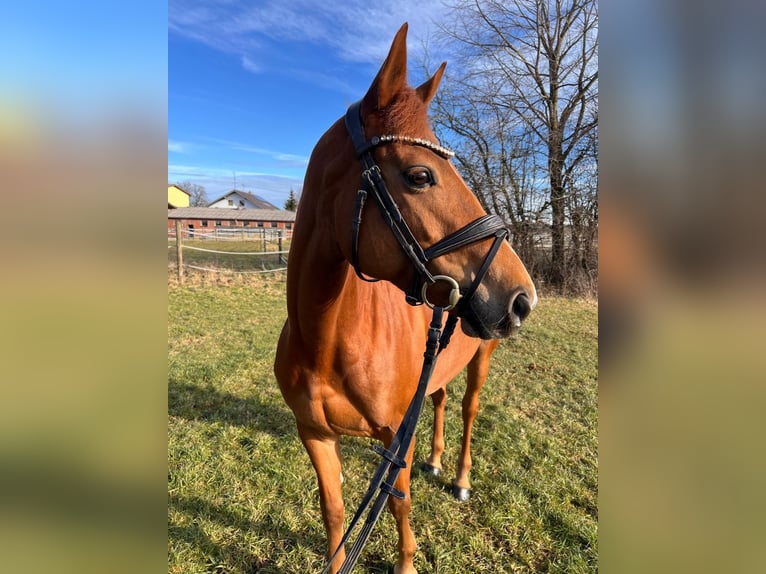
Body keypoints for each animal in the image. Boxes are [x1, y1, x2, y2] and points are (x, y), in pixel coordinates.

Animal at [272, 23, 536, 574]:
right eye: (420, 175)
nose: (523, 298)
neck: (327, 342)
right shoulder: (314, 434)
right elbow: (333, 509)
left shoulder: (396, 437)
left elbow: (398, 502)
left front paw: (407, 563)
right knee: (439, 400)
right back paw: (436, 460)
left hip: (482, 357)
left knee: (467, 410)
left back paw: (458, 478)